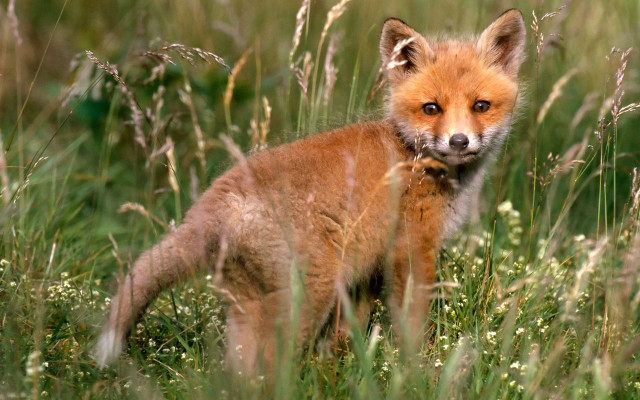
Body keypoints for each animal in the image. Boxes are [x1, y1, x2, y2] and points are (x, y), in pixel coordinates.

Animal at [96, 9, 526, 375]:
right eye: (432, 108)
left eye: (481, 105)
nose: (459, 141)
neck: (412, 154)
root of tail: (214, 201)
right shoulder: (411, 249)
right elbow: (413, 327)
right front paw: (421, 372)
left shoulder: (365, 271)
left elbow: (343, 339)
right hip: (307, 295)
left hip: (250, 305)